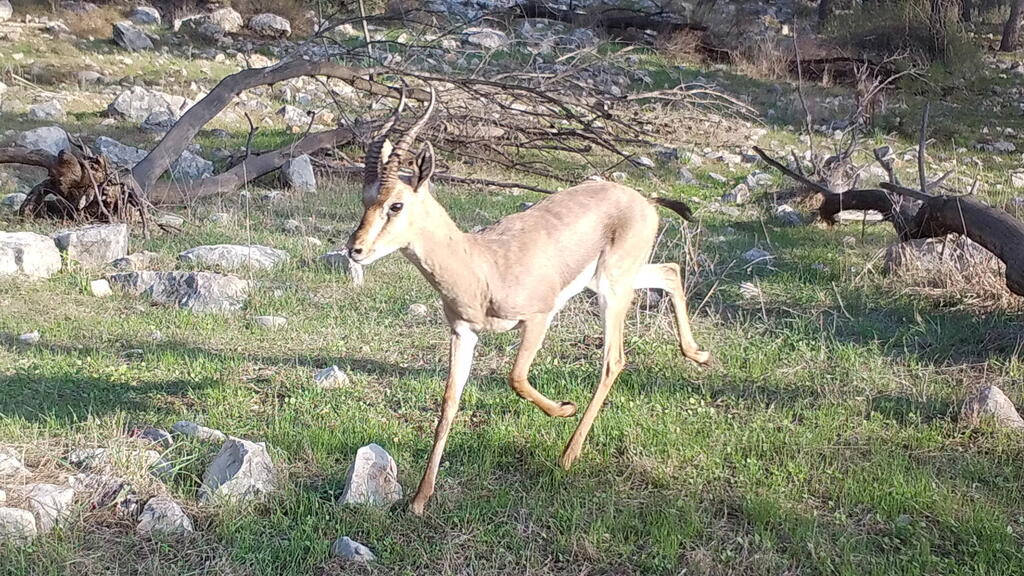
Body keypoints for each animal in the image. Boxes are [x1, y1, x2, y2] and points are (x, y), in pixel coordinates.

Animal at [348, 87, 711, 515]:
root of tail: (644, 198)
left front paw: (565, 408)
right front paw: (420, 499)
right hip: (611, 279)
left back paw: (568, 455)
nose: (355, 249)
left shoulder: (540, 316)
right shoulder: (463, 332)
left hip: (612, 289)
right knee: (670, 271)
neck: (483, 267)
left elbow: (516, 377)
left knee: (614, 359)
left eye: (396, 204)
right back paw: (699, 354)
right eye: (365, 199)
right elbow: (449, 403)